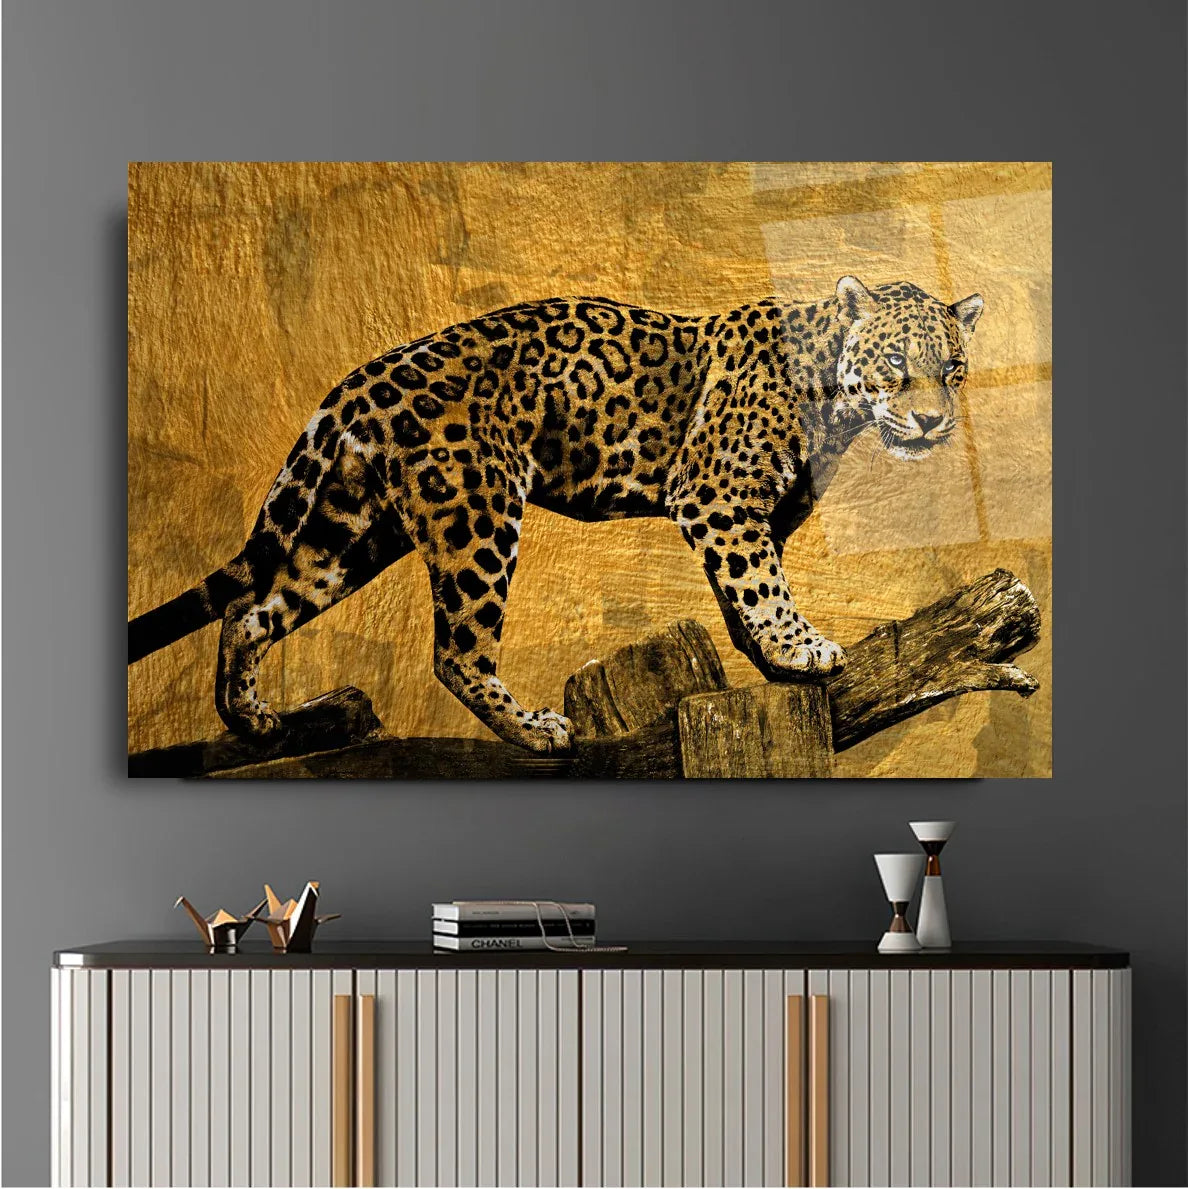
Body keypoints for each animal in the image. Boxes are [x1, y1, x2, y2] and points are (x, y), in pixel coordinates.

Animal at [128, 275, 983, 754]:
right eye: (896, 365)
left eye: (953, 370)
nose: (934, 422)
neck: (835, 400)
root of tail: (367, 375)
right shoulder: (717, 496)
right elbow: (762, 587)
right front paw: (799, 648)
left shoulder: (747, 513)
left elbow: (741, 594)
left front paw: (771, 661)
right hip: (476, 516)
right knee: (456, 653)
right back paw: (535, 729)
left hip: (352, 529)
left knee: (251, 609)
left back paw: (248, 718)